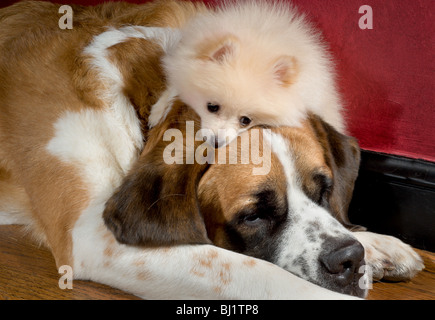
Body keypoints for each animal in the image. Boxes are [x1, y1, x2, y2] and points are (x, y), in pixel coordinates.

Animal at [150, 0, 344, 148]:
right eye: (212, 107)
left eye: (246, 120)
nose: (216, 143)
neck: (259, 44)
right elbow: (174, 83)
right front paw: (158, 111)